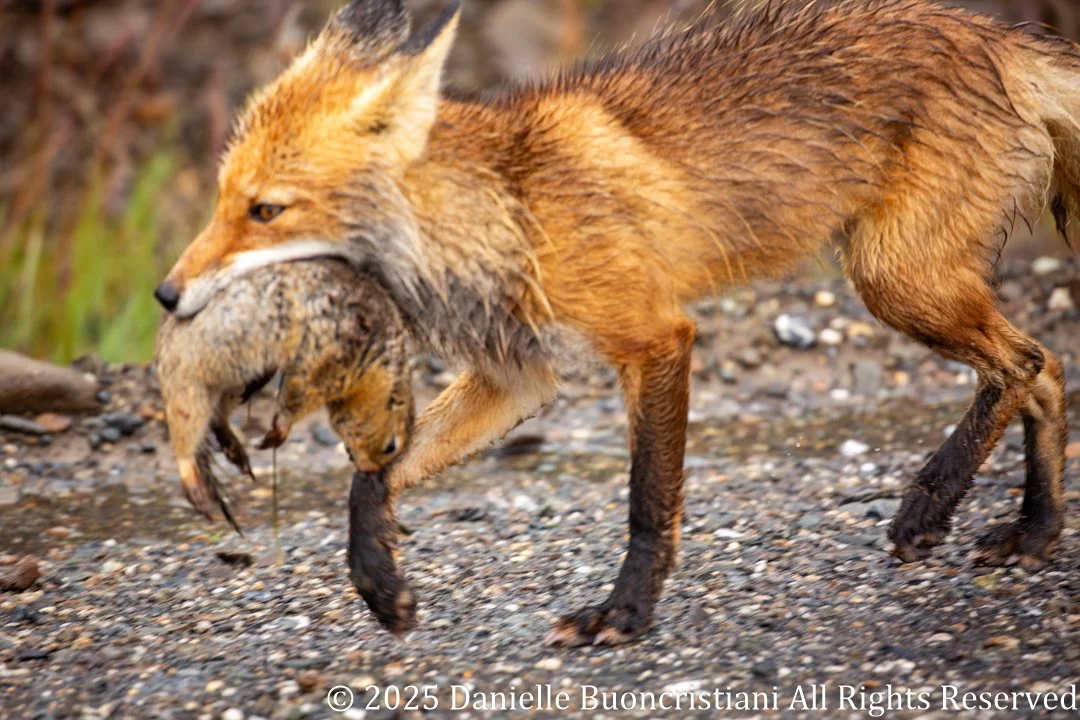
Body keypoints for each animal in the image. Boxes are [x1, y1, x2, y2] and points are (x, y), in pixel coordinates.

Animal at [154, 259, 414, 529]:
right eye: (391, 446)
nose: (370, 472)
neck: (376, 359)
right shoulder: (325, 360)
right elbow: (297, 395)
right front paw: (276, 432)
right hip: (189, 377)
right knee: (186, 440)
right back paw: (199, 492)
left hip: (234, 380)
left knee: (218, 416)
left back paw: (236, 450)